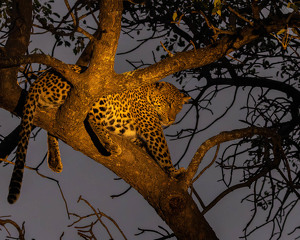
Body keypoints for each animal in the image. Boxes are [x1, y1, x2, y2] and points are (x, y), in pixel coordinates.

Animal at [7, 64, 190, 203]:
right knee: (92, 118)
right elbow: (162, 149)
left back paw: (54, 160)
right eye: (168, 103)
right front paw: (174, 172)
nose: (171, 119)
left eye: (179, 108)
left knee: (52, 126)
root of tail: (42, 76)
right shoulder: (151, 128)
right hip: (95, 93)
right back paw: (110, 144)